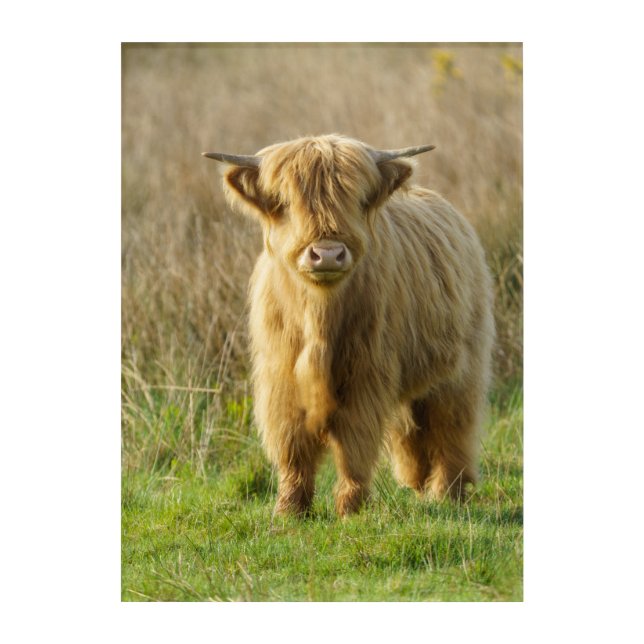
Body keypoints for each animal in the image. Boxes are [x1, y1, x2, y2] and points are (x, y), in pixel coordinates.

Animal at [203, 134, 494, 517]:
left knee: (452, 425)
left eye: (357, 199)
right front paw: (289, 509)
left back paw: (447, 492)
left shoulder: (365, 377)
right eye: (284, 202)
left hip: (461, 370)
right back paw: (418, 485)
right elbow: (291, 444)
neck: (319, 317)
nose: (327, 254)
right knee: (410, 430)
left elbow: (355, 443)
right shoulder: (281, 379)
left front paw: (350, 508)